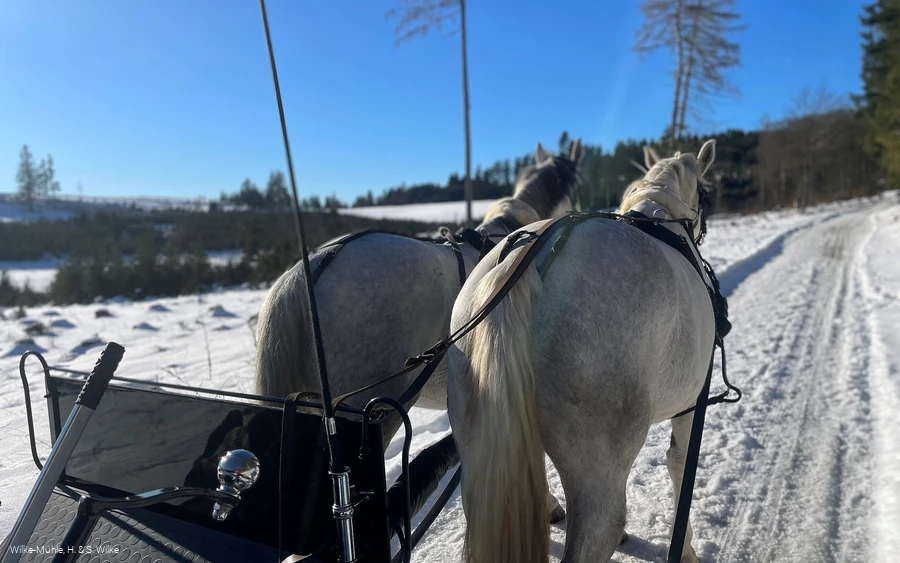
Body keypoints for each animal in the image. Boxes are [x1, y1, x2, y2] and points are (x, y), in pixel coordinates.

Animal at [446, 139, 718, 563]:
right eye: (705, 192)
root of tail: (526, 260)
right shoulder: (693, 402)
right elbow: (679, 464)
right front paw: (685, 547)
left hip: (477, 449)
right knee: (601, 527)